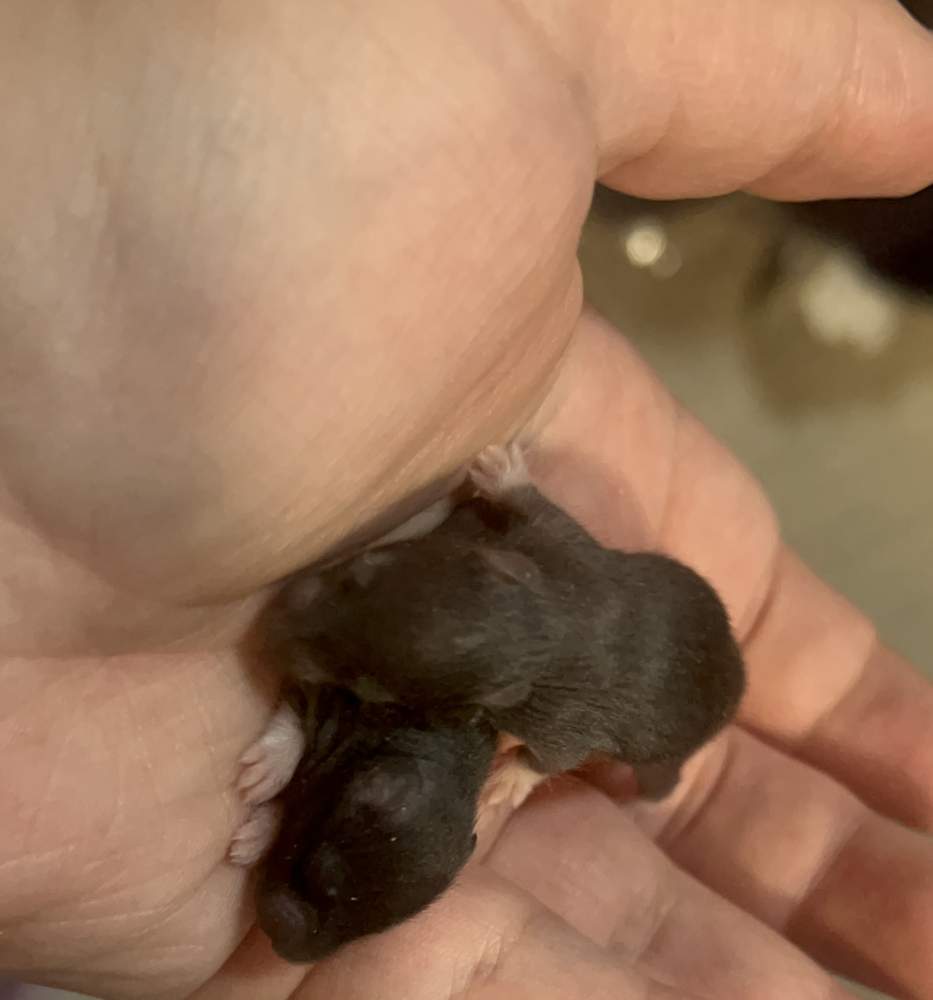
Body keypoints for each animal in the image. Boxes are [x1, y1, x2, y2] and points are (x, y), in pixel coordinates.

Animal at [265, 445, 746, 795]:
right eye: (366, 566)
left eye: (368, 686)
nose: (271, 622)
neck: (548, 625)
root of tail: (737, 681)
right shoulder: (556, 547)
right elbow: (546, 511)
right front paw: (504, 473)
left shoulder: (563, 716)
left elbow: (556, 756)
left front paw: (510, 779)